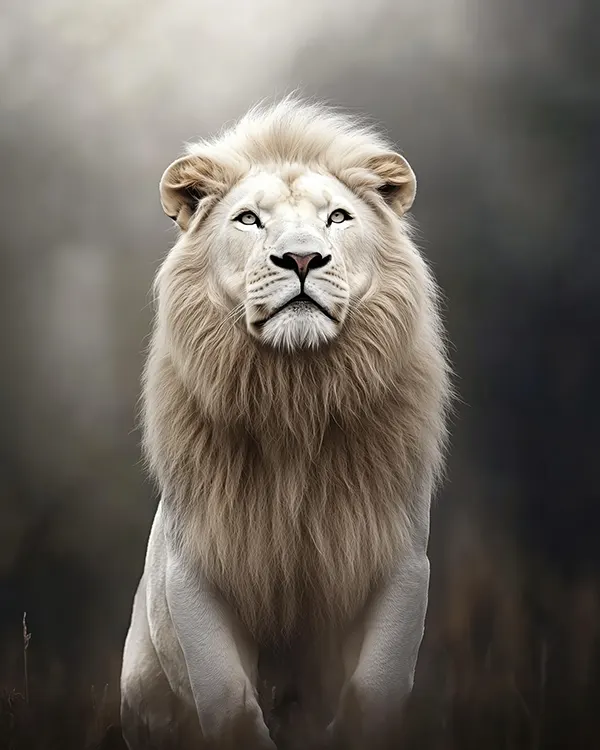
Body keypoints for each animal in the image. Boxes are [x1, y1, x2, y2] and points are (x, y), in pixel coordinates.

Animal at [120, 97, 451, 750]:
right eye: (248, 220)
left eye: (338, 217)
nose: (301, 258)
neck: (296, 395)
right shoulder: (195, 565)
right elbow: (226, 697)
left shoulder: (399, 557)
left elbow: (374, 686)